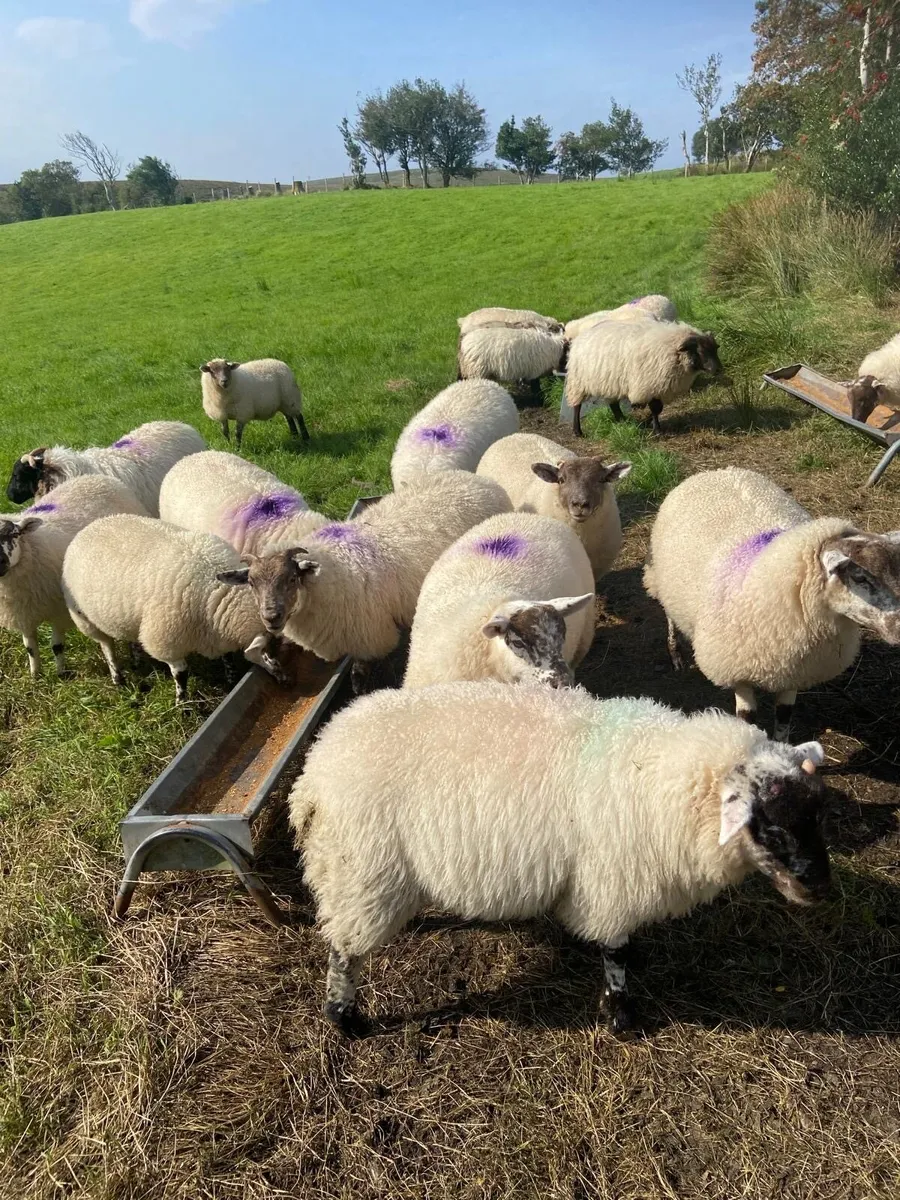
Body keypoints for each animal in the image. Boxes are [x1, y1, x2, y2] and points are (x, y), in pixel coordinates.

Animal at [0, 476, 148, 678]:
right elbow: (30, 648)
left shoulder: (59, 609)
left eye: (15, 534)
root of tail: (96, 478)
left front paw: (61, 674)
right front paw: (35, 676)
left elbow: (57, 646)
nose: (0, 561)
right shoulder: (24, 613)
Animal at [62, 515, 282, 703]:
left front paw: (231, 678)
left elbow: (227, 658)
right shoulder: (166, 642)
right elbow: (181, 674)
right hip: (84, 618)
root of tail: (92, 524)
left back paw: (136, 661)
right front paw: (182, 705)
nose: (284, 678)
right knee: (106, 646)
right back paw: (117, 678)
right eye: (267, 651)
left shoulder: (217, 634)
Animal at [289, 681, 830, 1036]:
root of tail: (314, 774)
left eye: (816, 812)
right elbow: (614, 954)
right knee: (344, 951)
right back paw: (345, 1019)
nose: (817, 884)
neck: (658, 777)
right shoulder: (611, 882)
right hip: (362, 871)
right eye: (769, 823)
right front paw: (621, 1017)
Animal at [564, 319, 722, 436]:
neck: (674, 352)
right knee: (577, 406)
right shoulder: (649, 385)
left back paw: (623, 421)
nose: (718, 369)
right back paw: (578, 432)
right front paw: (657, 431)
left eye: (715, 349)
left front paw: (650, 424)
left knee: (613, 404)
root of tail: (581, 337)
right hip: (578, 382)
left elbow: (659, 409)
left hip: (610, 382)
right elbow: (655, 409)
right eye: (700, 351)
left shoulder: (658, 387)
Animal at [644, 466, 900, 740]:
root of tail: (716, 470)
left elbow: (784, 719)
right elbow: (746, 719)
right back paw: (675, 653)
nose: (899, 629)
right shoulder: (738, 673)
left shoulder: (795, 672)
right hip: (665, 580)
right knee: (669, 614)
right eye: (859, 577)